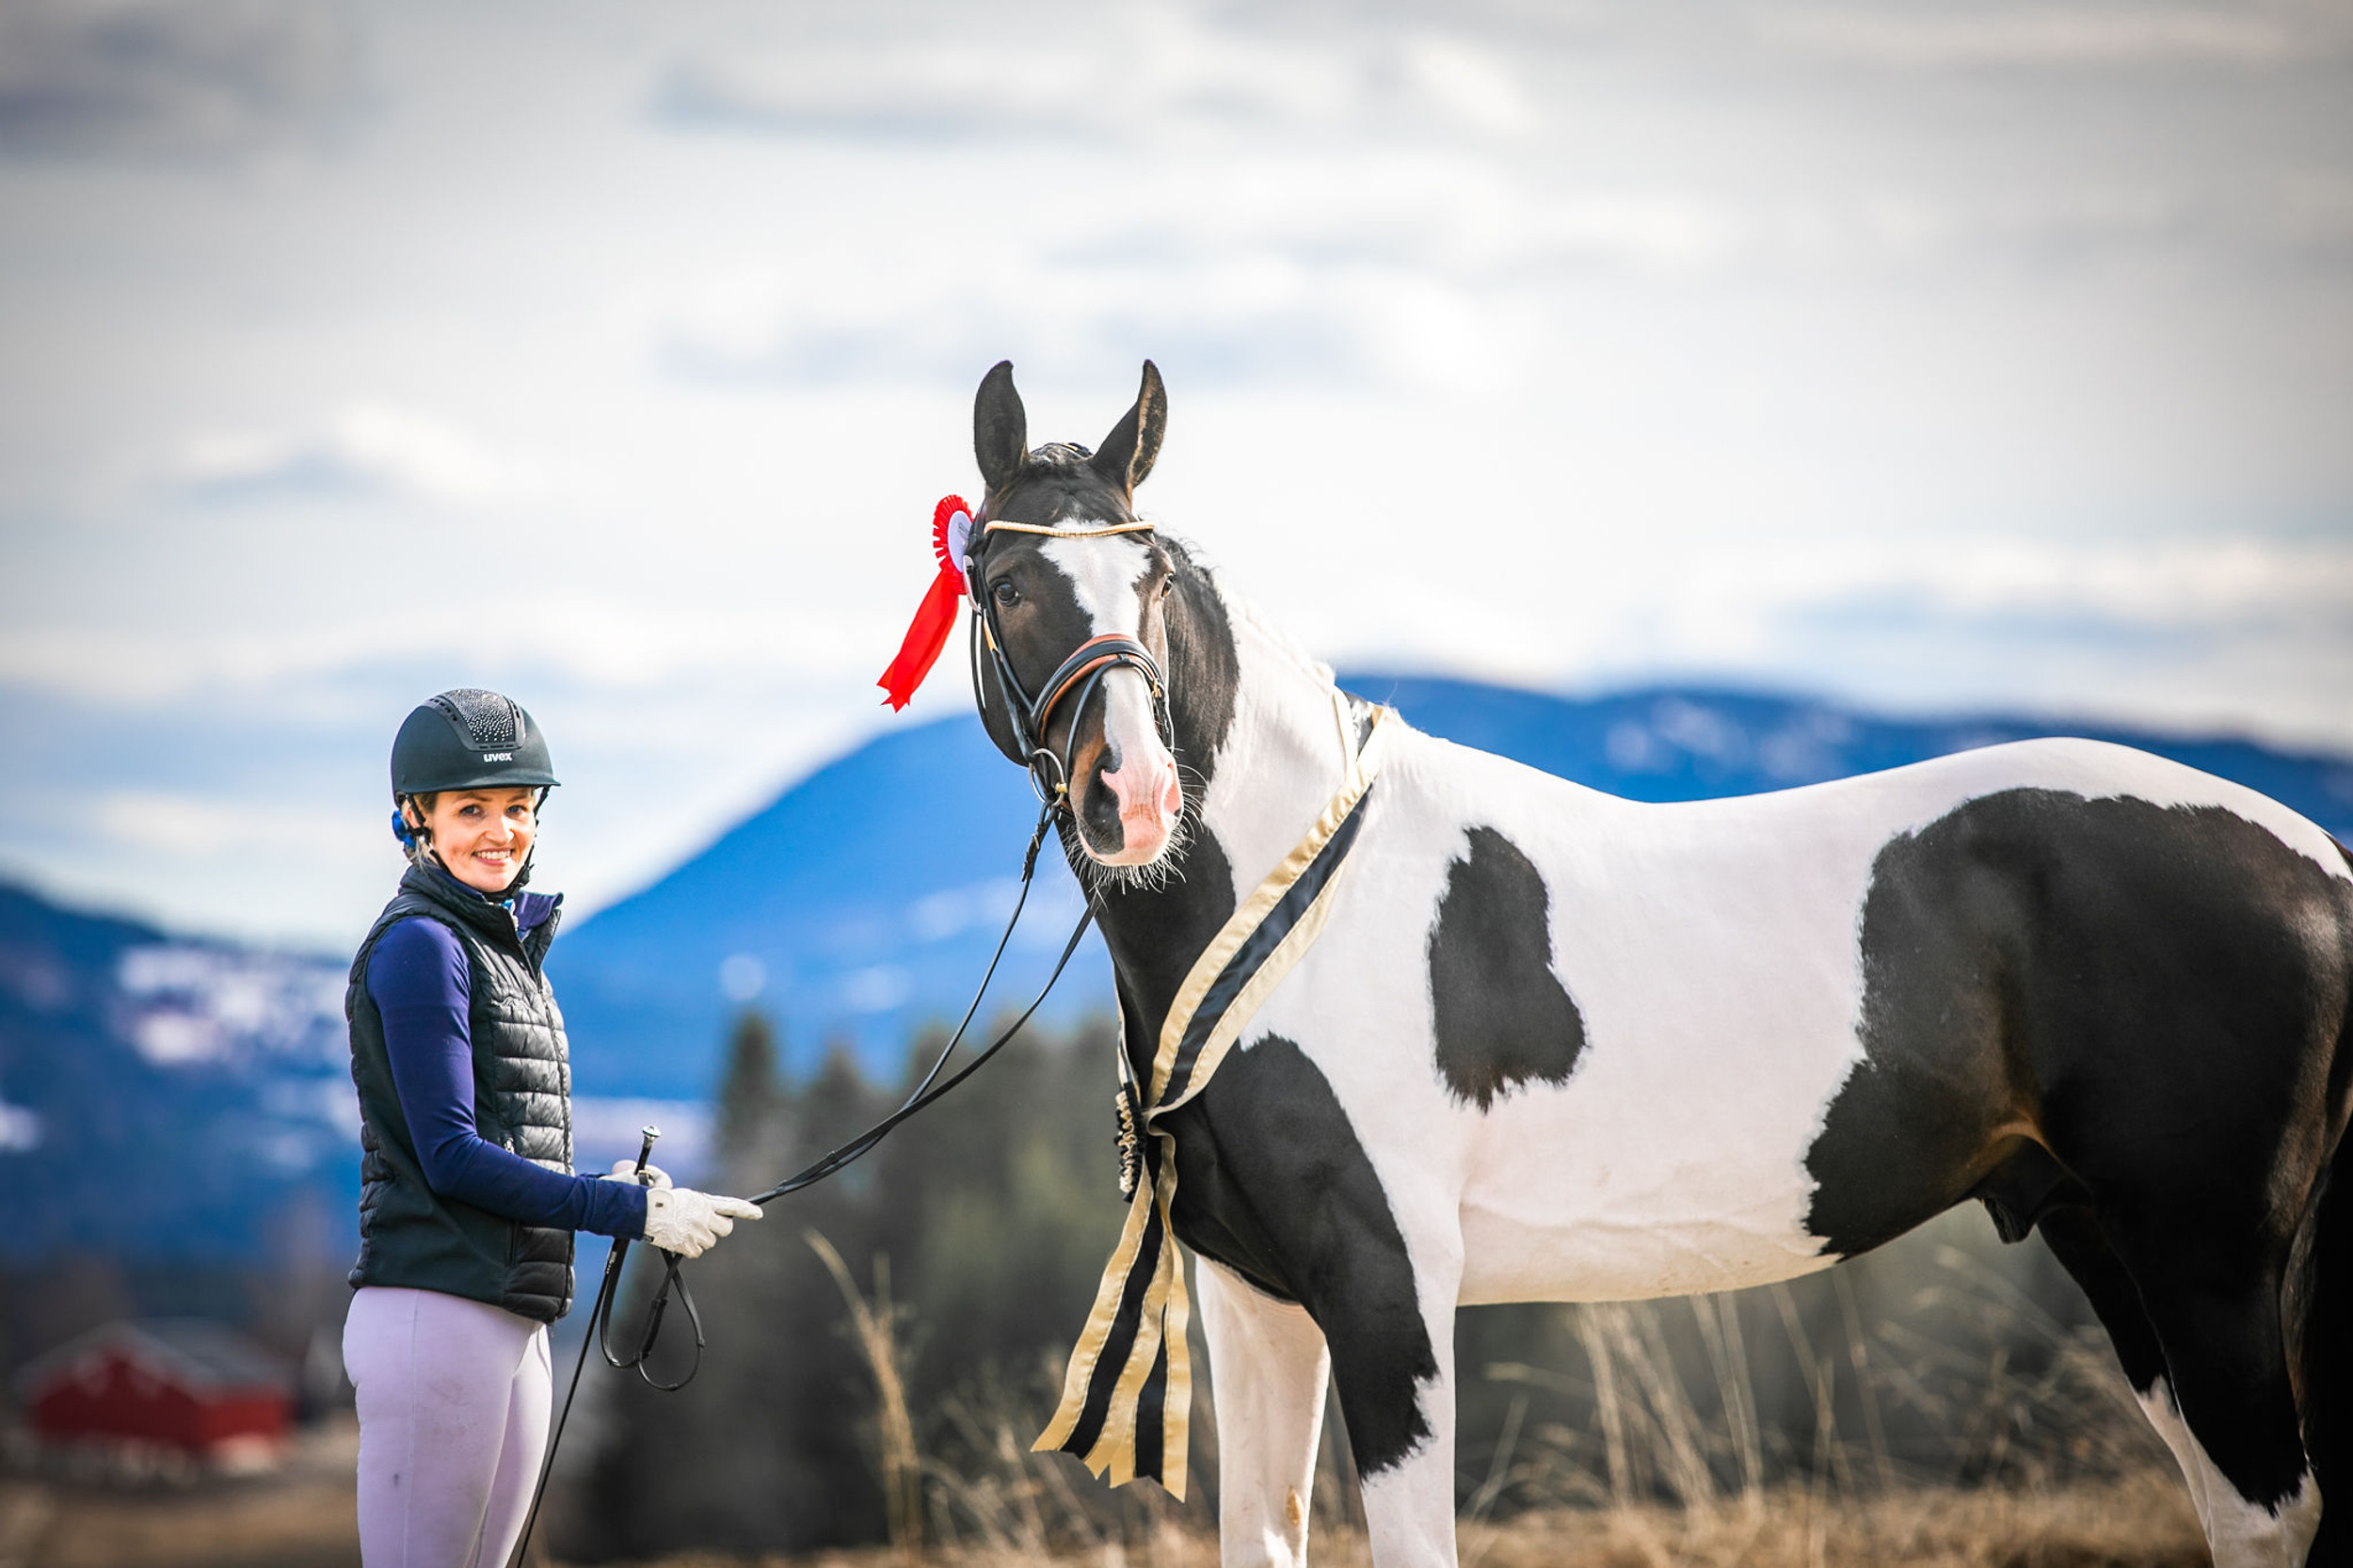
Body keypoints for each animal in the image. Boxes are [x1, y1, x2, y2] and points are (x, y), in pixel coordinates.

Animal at [950, 358, 2353, 1568]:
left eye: (1150, 578)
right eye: (1008, 585)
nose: (1133, 798)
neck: (1299, 909)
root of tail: (2320, 861)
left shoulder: (1390, 1290)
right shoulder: (1258, 1301)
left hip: (2204, 1257)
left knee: (2269, 1508)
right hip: (2107, 1240)